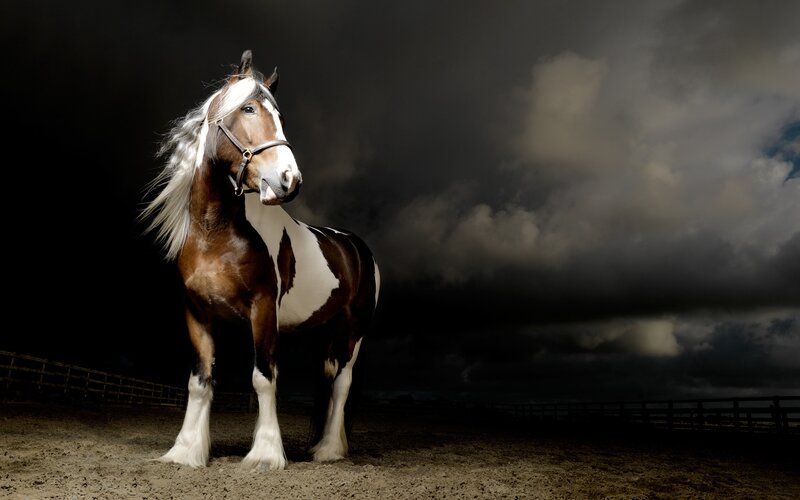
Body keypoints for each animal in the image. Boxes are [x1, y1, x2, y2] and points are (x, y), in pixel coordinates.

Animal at [139, 50, 380, 470]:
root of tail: (356, 248)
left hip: (354, 329)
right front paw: (186, 451)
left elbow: (263, 376)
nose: (289, 179)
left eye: (279, 116)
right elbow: (199, 381)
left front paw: (265, 455)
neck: (216, 235)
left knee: (343, 382)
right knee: (329, 377)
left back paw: (330, 450)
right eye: (248, 108)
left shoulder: (263, 309)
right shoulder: (197, 312)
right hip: (326, 330)